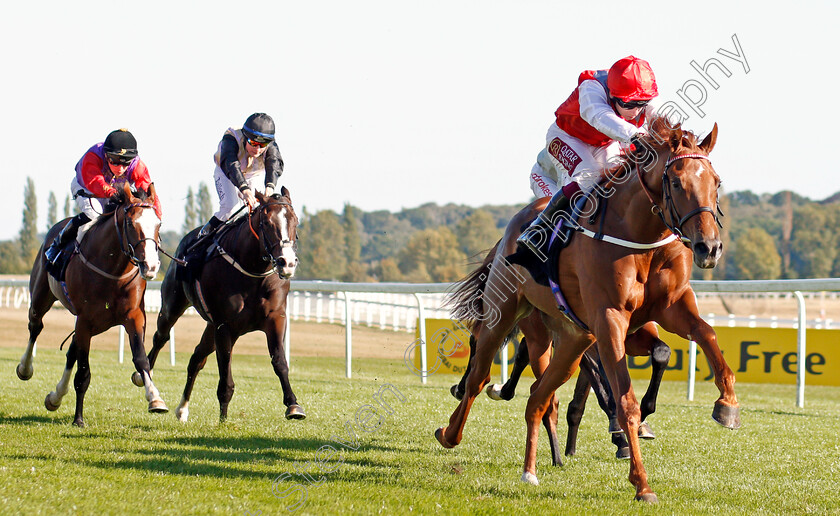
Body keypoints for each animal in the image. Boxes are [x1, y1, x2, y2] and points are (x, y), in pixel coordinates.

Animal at [18, 183, 166, 426]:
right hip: (42, 296)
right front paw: (78, 419)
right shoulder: (85, 320)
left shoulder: (133, 316)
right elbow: (83, 372)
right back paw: (25, 368)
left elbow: (141, 359)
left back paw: (55, 396)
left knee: (71, 350)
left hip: (98, 323)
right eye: (130, 223)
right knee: (35, 326)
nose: (151, 266)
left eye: (158, 224)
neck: (113, 271)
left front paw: (155, 399)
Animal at [138, 187, 306, 422]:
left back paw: (182, 409)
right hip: (173, 306)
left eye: (295, 221)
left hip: (210, 327)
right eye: (266, 222)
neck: (252, 270)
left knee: (196, 358)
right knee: (161, 336)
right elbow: (225, 369)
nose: (287, 262)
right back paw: (145, 379)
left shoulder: (275, 318)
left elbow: (279, 361)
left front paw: (293, 405)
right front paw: (223, 418)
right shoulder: (224, 326)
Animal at [436, 117, 740, 500]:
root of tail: (518, 221)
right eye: (675, 181)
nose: (708, 247)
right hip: (504, 312)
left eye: (716, 182)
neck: (641, 236)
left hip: (572, 340)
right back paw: (450, 433)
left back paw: (530, 470)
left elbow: (705, 334)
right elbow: (624, 402)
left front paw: (727, 405)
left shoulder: (671, 307)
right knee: (478, 376)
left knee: (539, 398)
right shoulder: (610, 320)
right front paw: (641, 483)